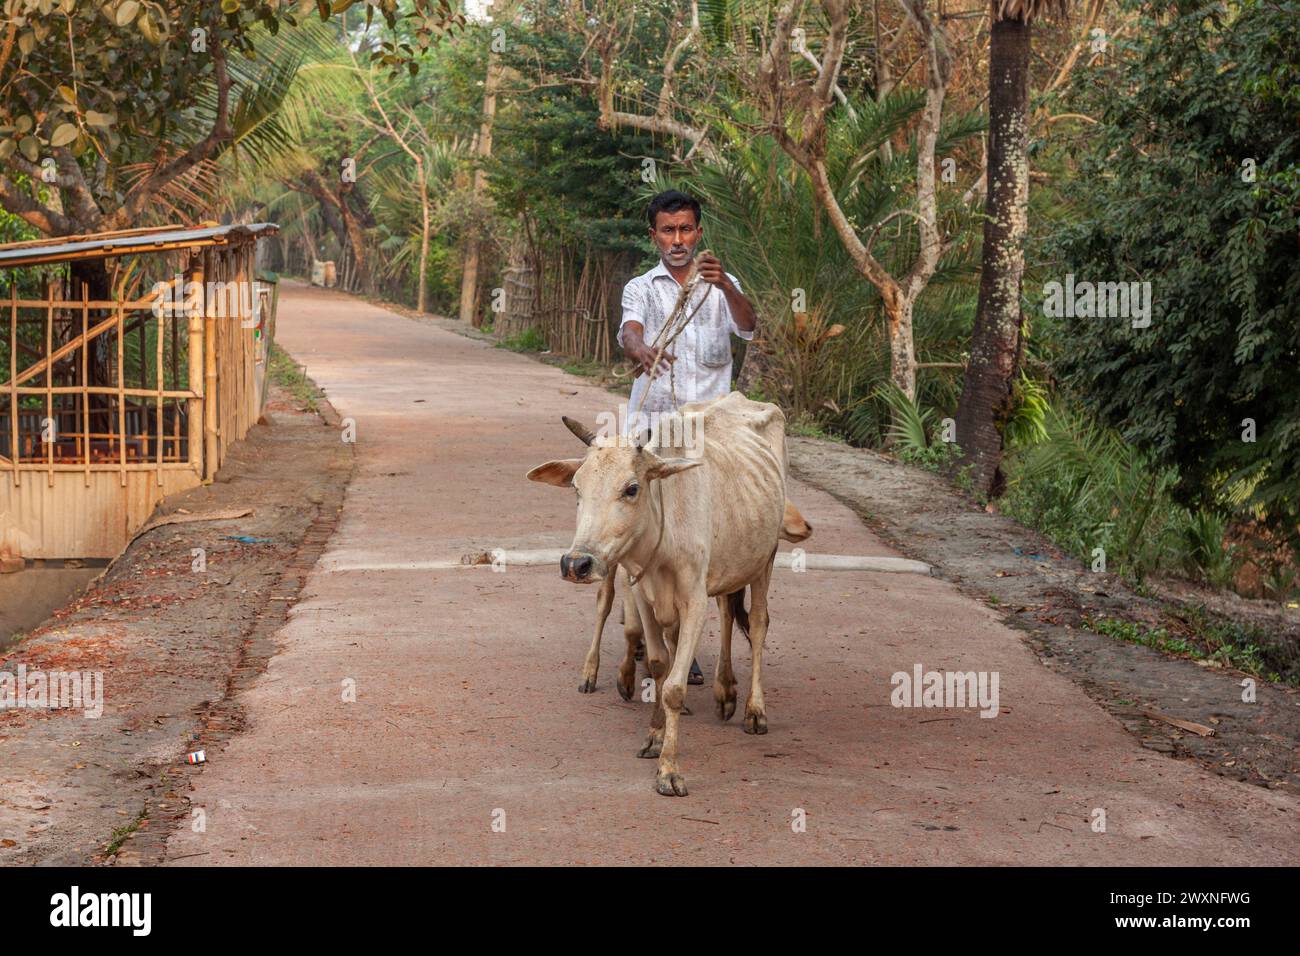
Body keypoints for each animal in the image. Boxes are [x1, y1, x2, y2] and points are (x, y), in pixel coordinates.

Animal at [527, 391, 809, 796]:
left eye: (631, 488)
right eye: (577, 489)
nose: (576, 563)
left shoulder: (693, 601)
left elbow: (674, 687)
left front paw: (669, 770)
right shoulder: (643, 595)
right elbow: (660, 665)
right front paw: (655, 737)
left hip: (765, 557)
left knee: (757, 623)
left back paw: (754, 710)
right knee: (727, 612)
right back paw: (725, 691)